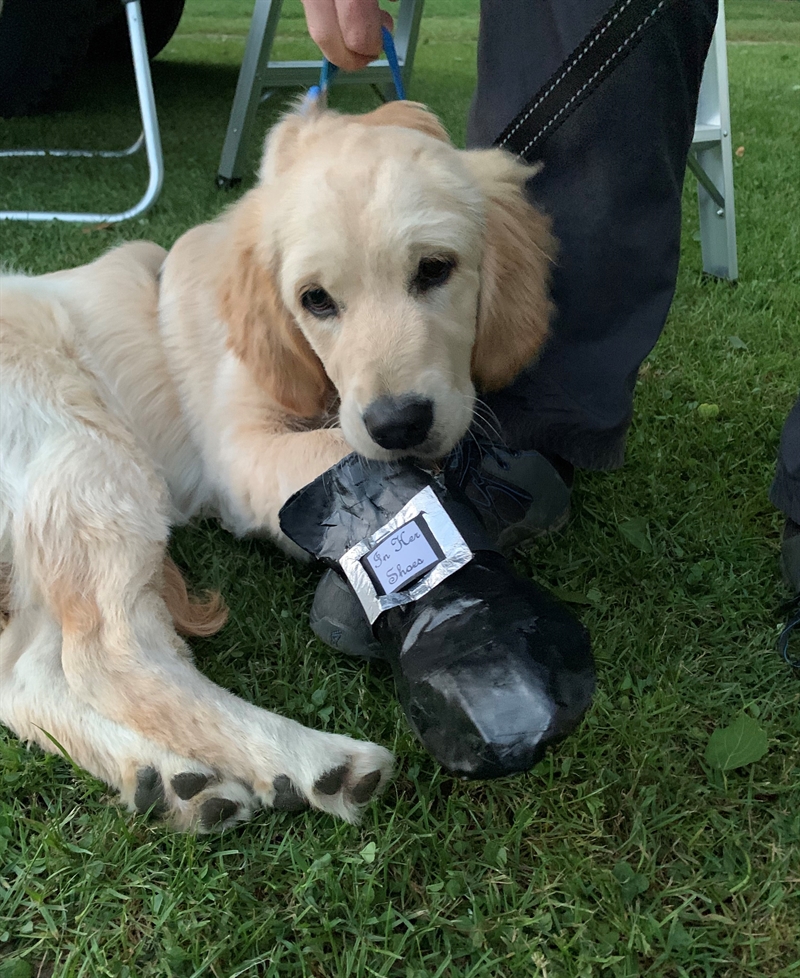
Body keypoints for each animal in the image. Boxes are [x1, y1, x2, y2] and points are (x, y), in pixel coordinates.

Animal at [0, 101, 552, 832]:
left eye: (435, 269)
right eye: (316, 300)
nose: (398, 422)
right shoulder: (241, 451)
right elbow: (342, 453)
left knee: (28, 676)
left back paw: (170, 778)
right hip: (91, 461)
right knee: (108, 656)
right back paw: (312, 760)